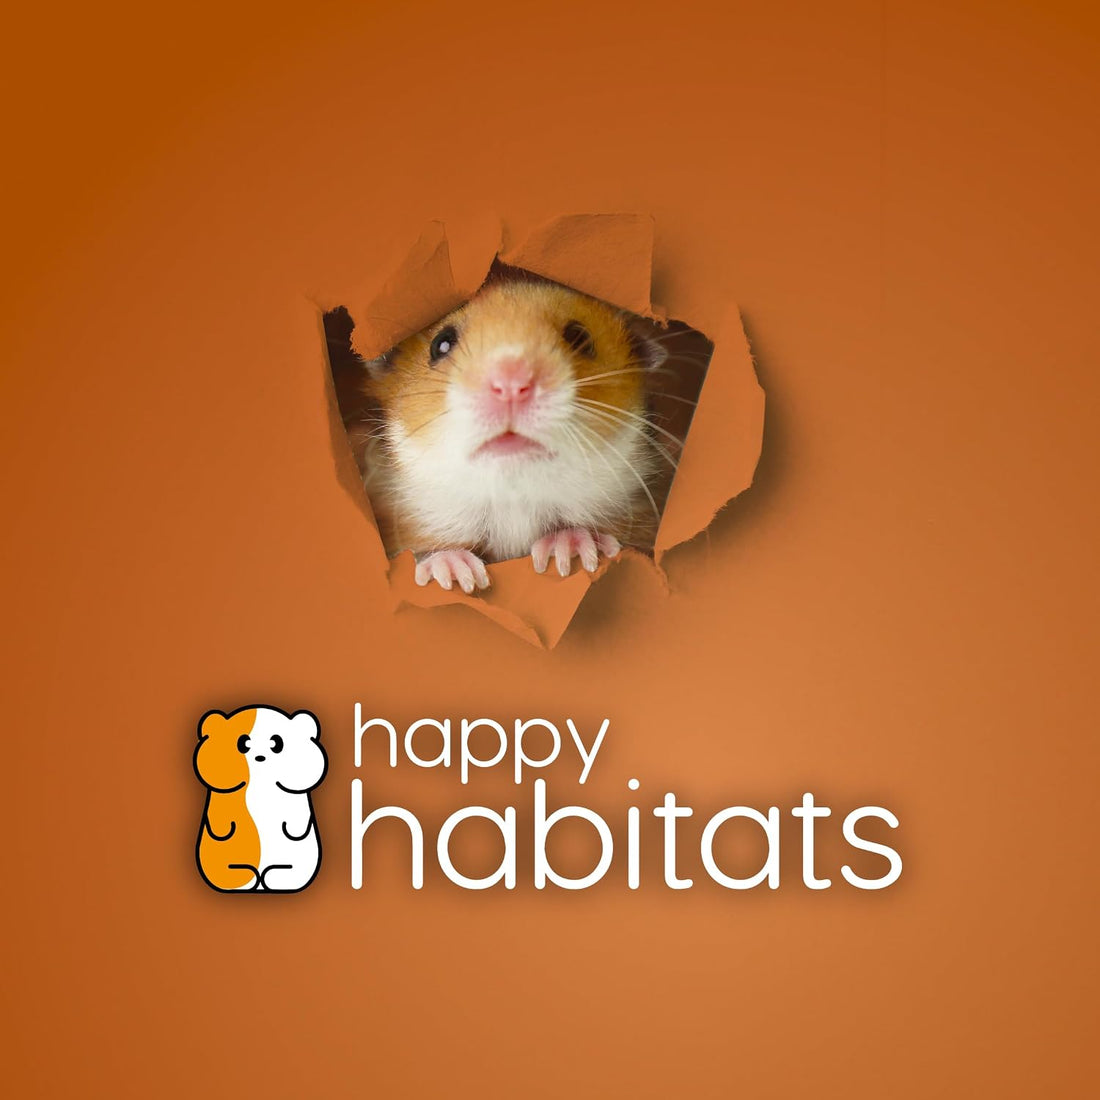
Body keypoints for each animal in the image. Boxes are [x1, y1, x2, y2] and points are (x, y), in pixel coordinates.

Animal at [356, 268, 674, 593]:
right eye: (440, 344)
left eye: (580, 338)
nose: (511, 384)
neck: (513, 507)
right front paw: (460, 577)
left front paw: (569, 551)